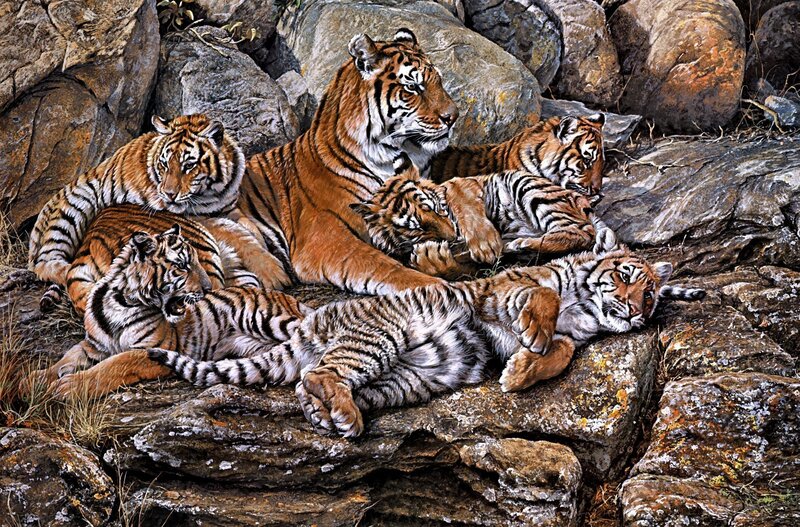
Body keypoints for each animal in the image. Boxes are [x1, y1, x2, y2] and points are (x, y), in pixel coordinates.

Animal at [36, 225, 309, 398]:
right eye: (183, 266)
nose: (208, 288)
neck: (120, 303)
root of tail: (287, 297)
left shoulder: (150, 349)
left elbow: (113, 366)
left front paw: (70, 386)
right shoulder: (93, 347)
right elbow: (65, 360)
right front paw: (35, 380)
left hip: (265, 318)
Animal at [149, 249, 706, 438]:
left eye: (651, 292)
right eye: (627, 276)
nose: (637, 310)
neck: (587, 310)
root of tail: (314, 319)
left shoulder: (569, 336)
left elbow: (562, 352)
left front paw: (520, 373)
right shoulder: (502, 289)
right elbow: (545, 296)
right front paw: (533, 341)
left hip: (410, 377)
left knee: (311, 383)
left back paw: (331, 418)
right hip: (383, 334)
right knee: (322, 371)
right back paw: (342, 416)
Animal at [234, 28, 462, 295]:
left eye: (439, 81)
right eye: (413, 87)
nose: (453, 117)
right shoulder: (324, 237)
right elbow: (381, 265)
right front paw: (436, 286)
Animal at [352, 170, 619, 279]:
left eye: (436, 208)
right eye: (417, 228)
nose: (452, 237)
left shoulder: (461, 184)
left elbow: (465, 207)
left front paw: (486, 245)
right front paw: (433, 258)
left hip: (526, 185)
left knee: (583, 231)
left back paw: (521, 243)